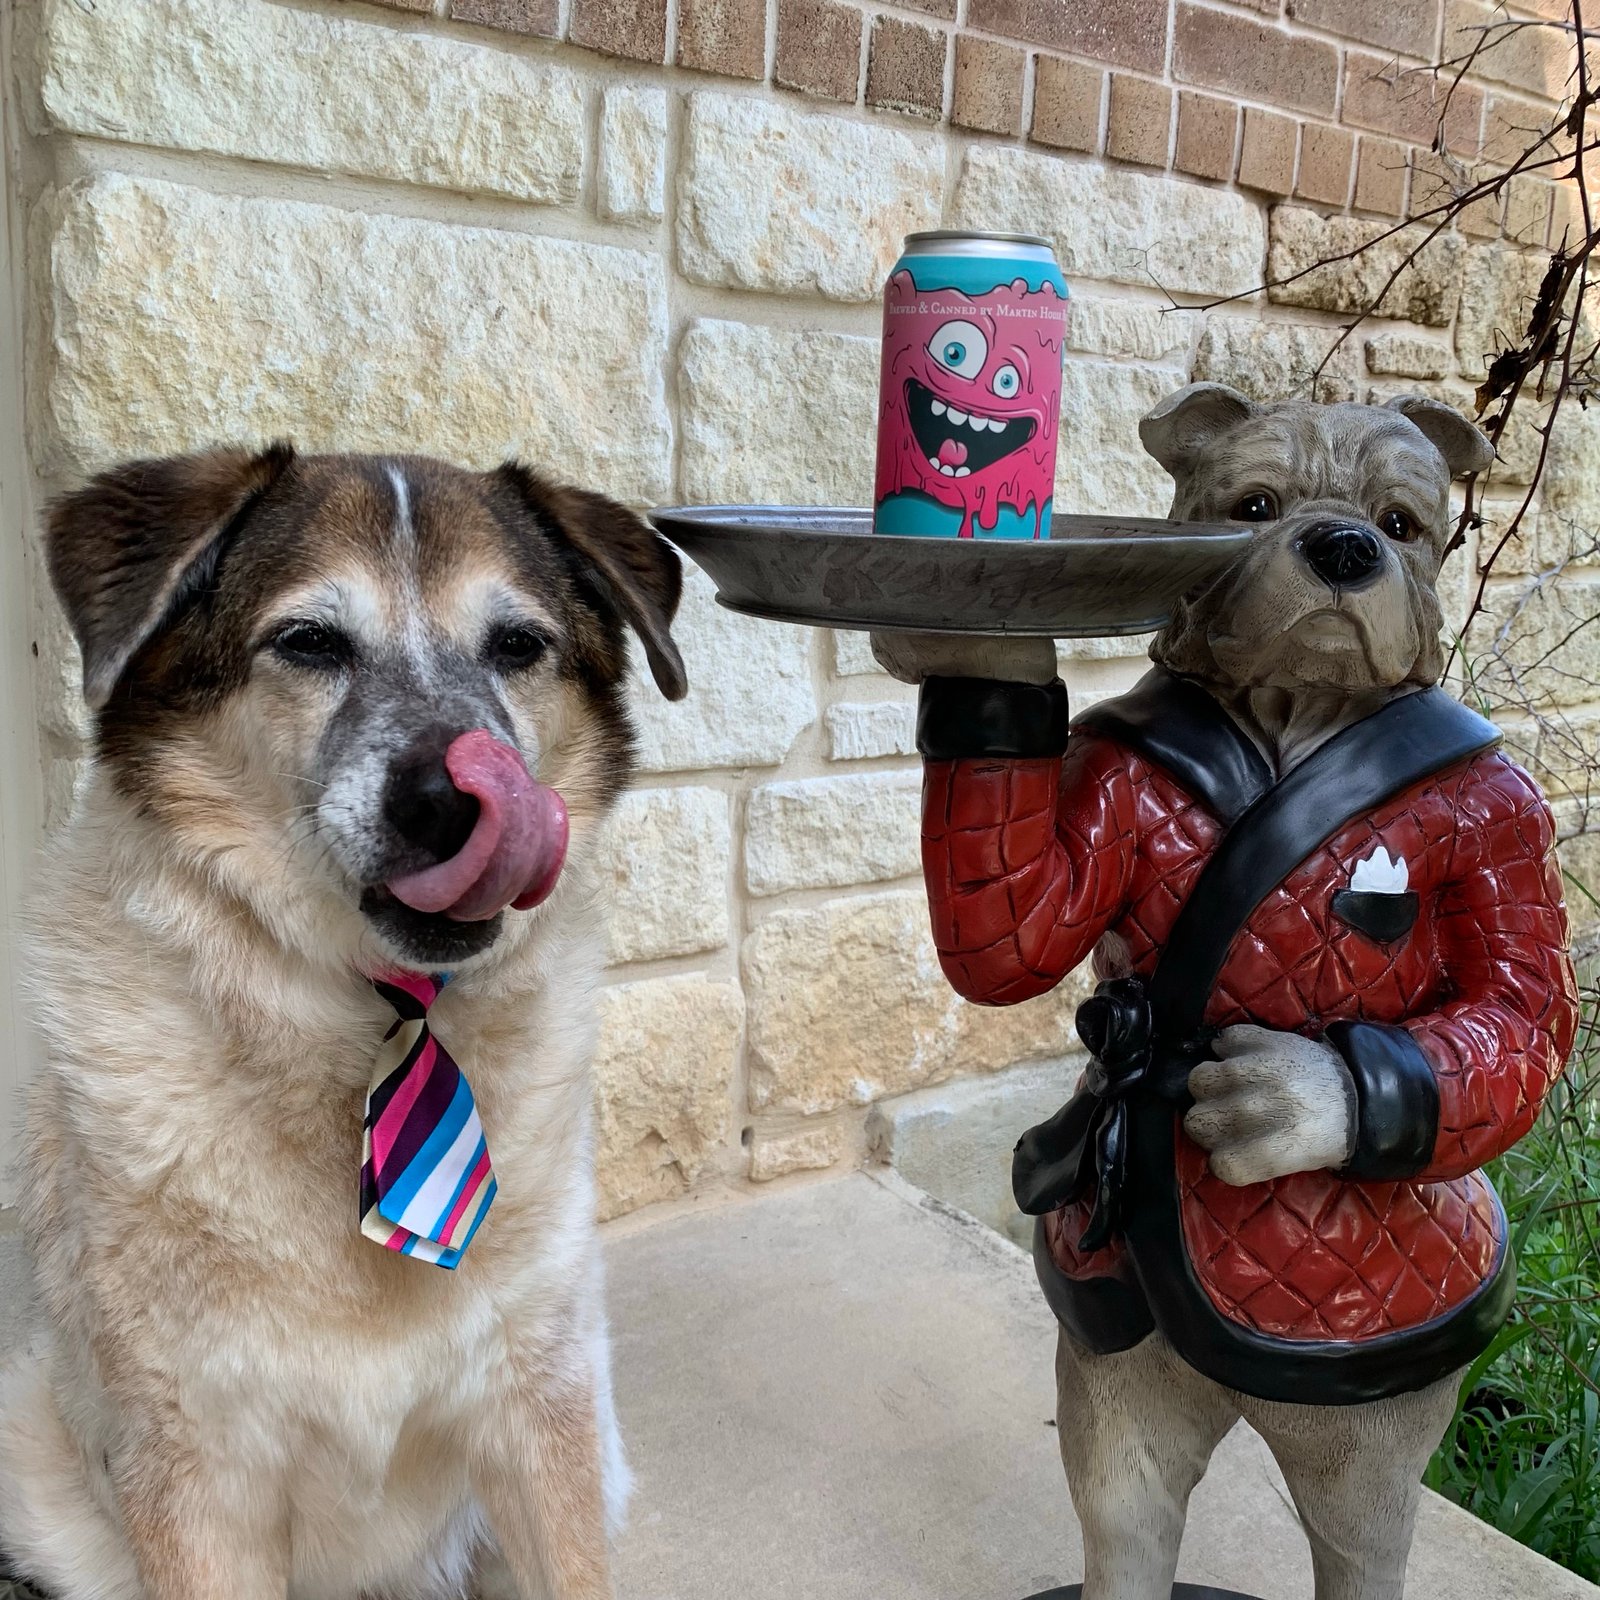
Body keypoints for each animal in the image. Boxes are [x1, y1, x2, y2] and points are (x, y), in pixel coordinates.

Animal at [0, 448, 681, 1600]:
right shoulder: (197, 1481)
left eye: (517, 645)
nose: (454, 800)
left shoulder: (545, 1413)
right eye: (310, 642)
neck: (375, 1024)